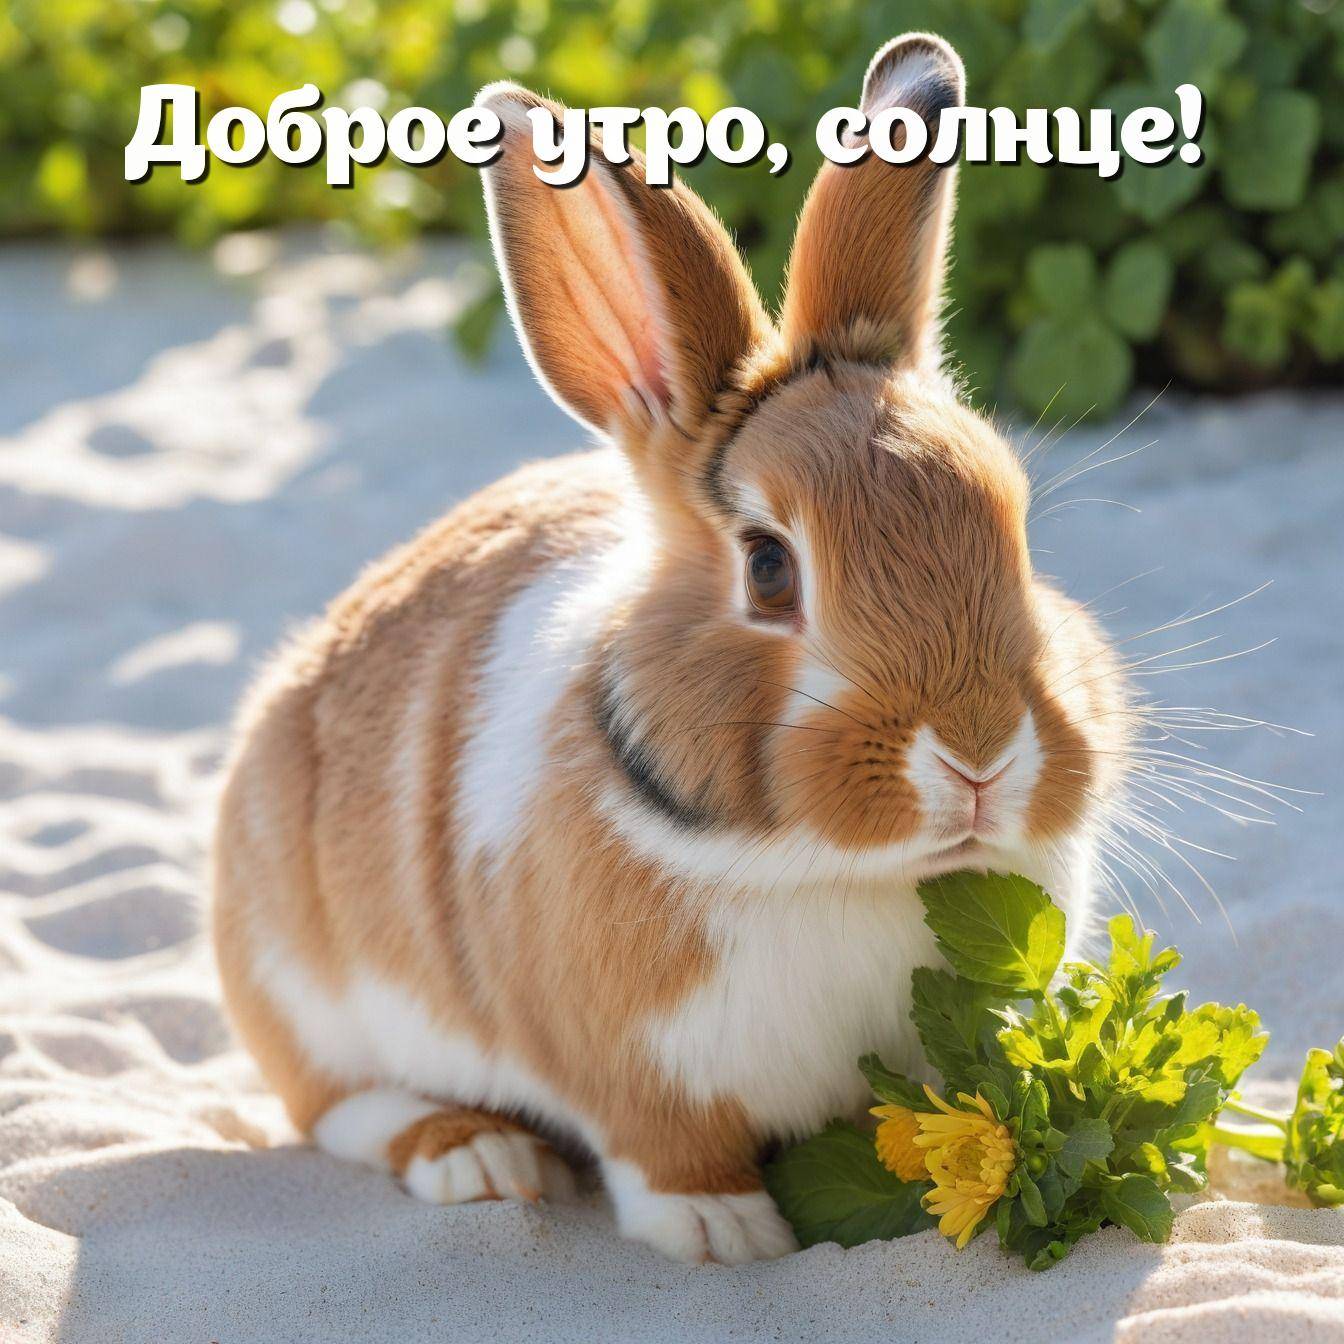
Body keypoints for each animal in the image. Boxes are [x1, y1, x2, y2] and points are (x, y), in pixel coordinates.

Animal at [212, 31, 1130, 1265]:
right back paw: (481, 1157)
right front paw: (723, 1233)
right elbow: (664, 1147)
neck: (837, 870)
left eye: (1020, 532)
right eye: (770, 567)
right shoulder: (631, 1067)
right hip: (301, 994)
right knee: (344, 1110)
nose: (981, 758)